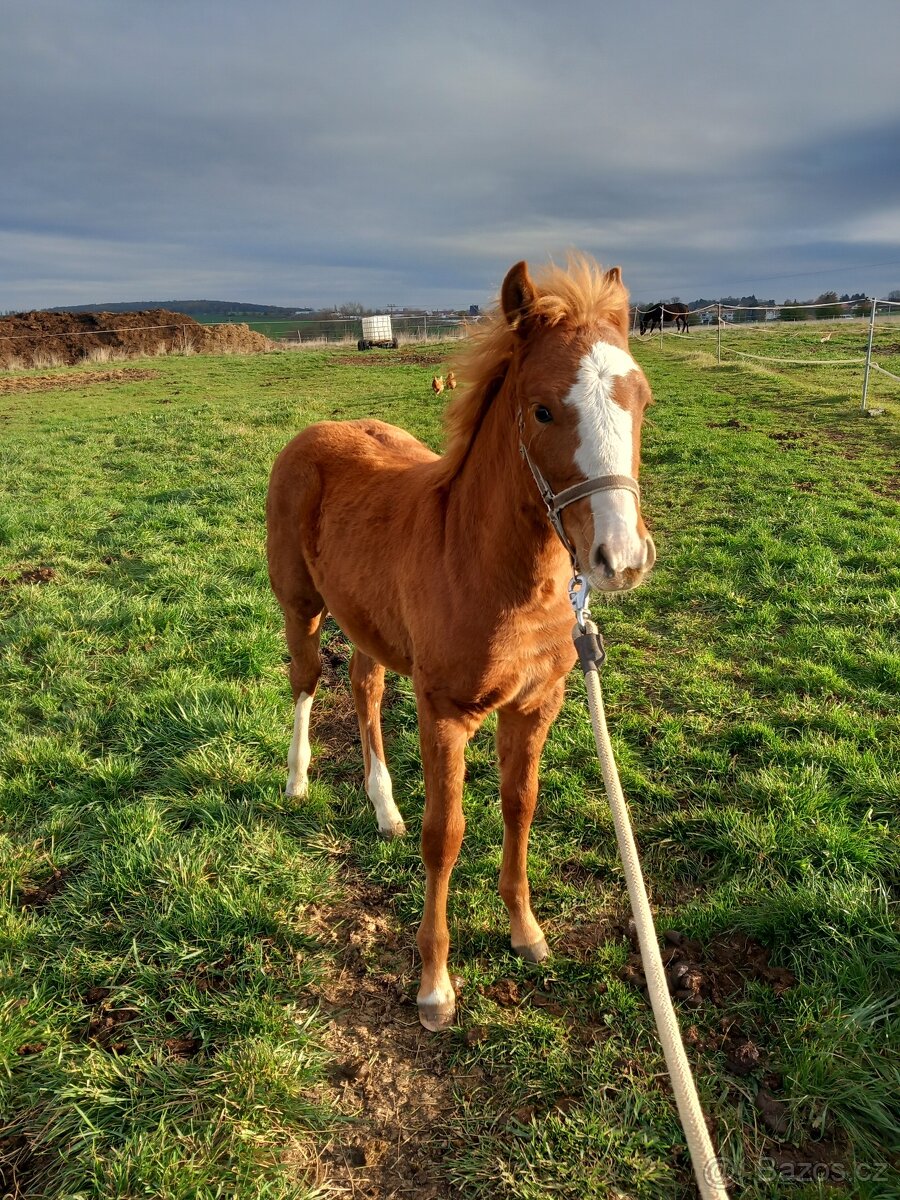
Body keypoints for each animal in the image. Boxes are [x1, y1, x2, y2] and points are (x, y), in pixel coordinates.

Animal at [266, 253, 657, 1032]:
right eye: (541, 409)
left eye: (643, 400)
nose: (622, 560)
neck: (492, 571)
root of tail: (316, 432)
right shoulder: (444, 713)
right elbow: (444, 835)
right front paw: (435, 985)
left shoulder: (536, 706)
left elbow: (520, 806)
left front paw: (525, 931)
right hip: (302, 607)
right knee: (305, 680)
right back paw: (297, 781)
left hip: (369, 624)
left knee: (364, 688)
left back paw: (383, 808)